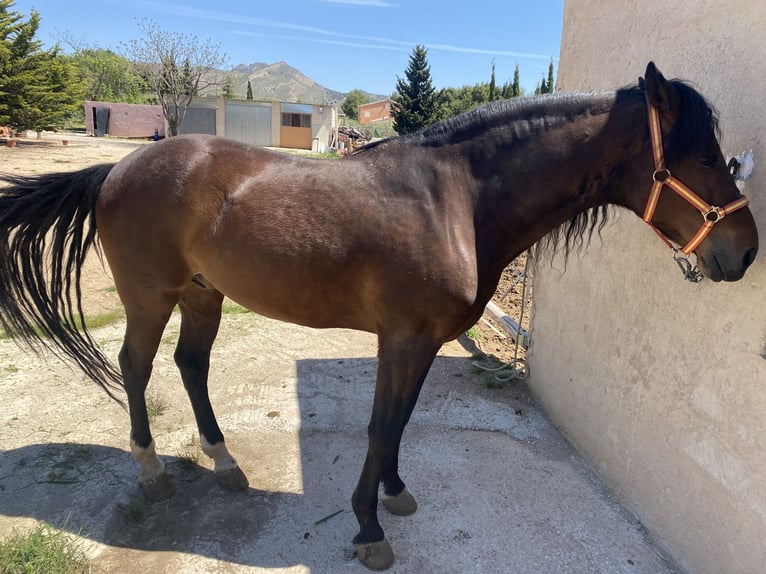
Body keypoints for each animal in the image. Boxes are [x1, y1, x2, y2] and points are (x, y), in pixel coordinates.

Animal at [0, 64, 760, 572]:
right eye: (698, 154)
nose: (745, 250)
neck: (455, 201)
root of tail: (117, 170)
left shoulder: (421, 343)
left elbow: (401, 422)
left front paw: (394, 494)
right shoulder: (400, 340)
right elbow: (379, 425)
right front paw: (368, 528)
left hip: (202, 294)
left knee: (191, 366)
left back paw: (224, 462)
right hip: (151, 297)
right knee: (136, 366)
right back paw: (153, 469)